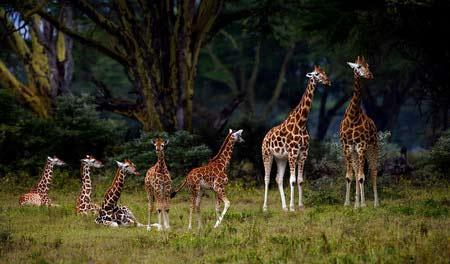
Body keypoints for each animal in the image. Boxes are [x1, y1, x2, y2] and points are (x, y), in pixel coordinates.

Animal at [260, 66, 330, 212]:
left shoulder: (303, 153)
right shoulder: (293, 153)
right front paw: (293, 207)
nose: (328, 81)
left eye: (324, 73)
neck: (301, 123)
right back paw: (265, 207)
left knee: (278, 178)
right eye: (316, 74)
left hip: (281, 158)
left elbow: (300, 180)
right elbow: (292, 180)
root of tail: (265, 136)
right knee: (267, 178)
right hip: (267, 154)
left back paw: (284, 207)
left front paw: (300, 206)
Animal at [342, 56, 380, 208]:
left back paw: (376, 203)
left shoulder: (362, 146)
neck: (353, 117)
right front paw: (348, 204)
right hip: (355, 152)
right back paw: (356, 203)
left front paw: (363, 205)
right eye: (358, 67)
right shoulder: (347, 147)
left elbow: (362, 177)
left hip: (373, 147)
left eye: (368, 66)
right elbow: (349, 176)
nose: (370, 75)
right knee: (357, 171)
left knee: (373, 172)